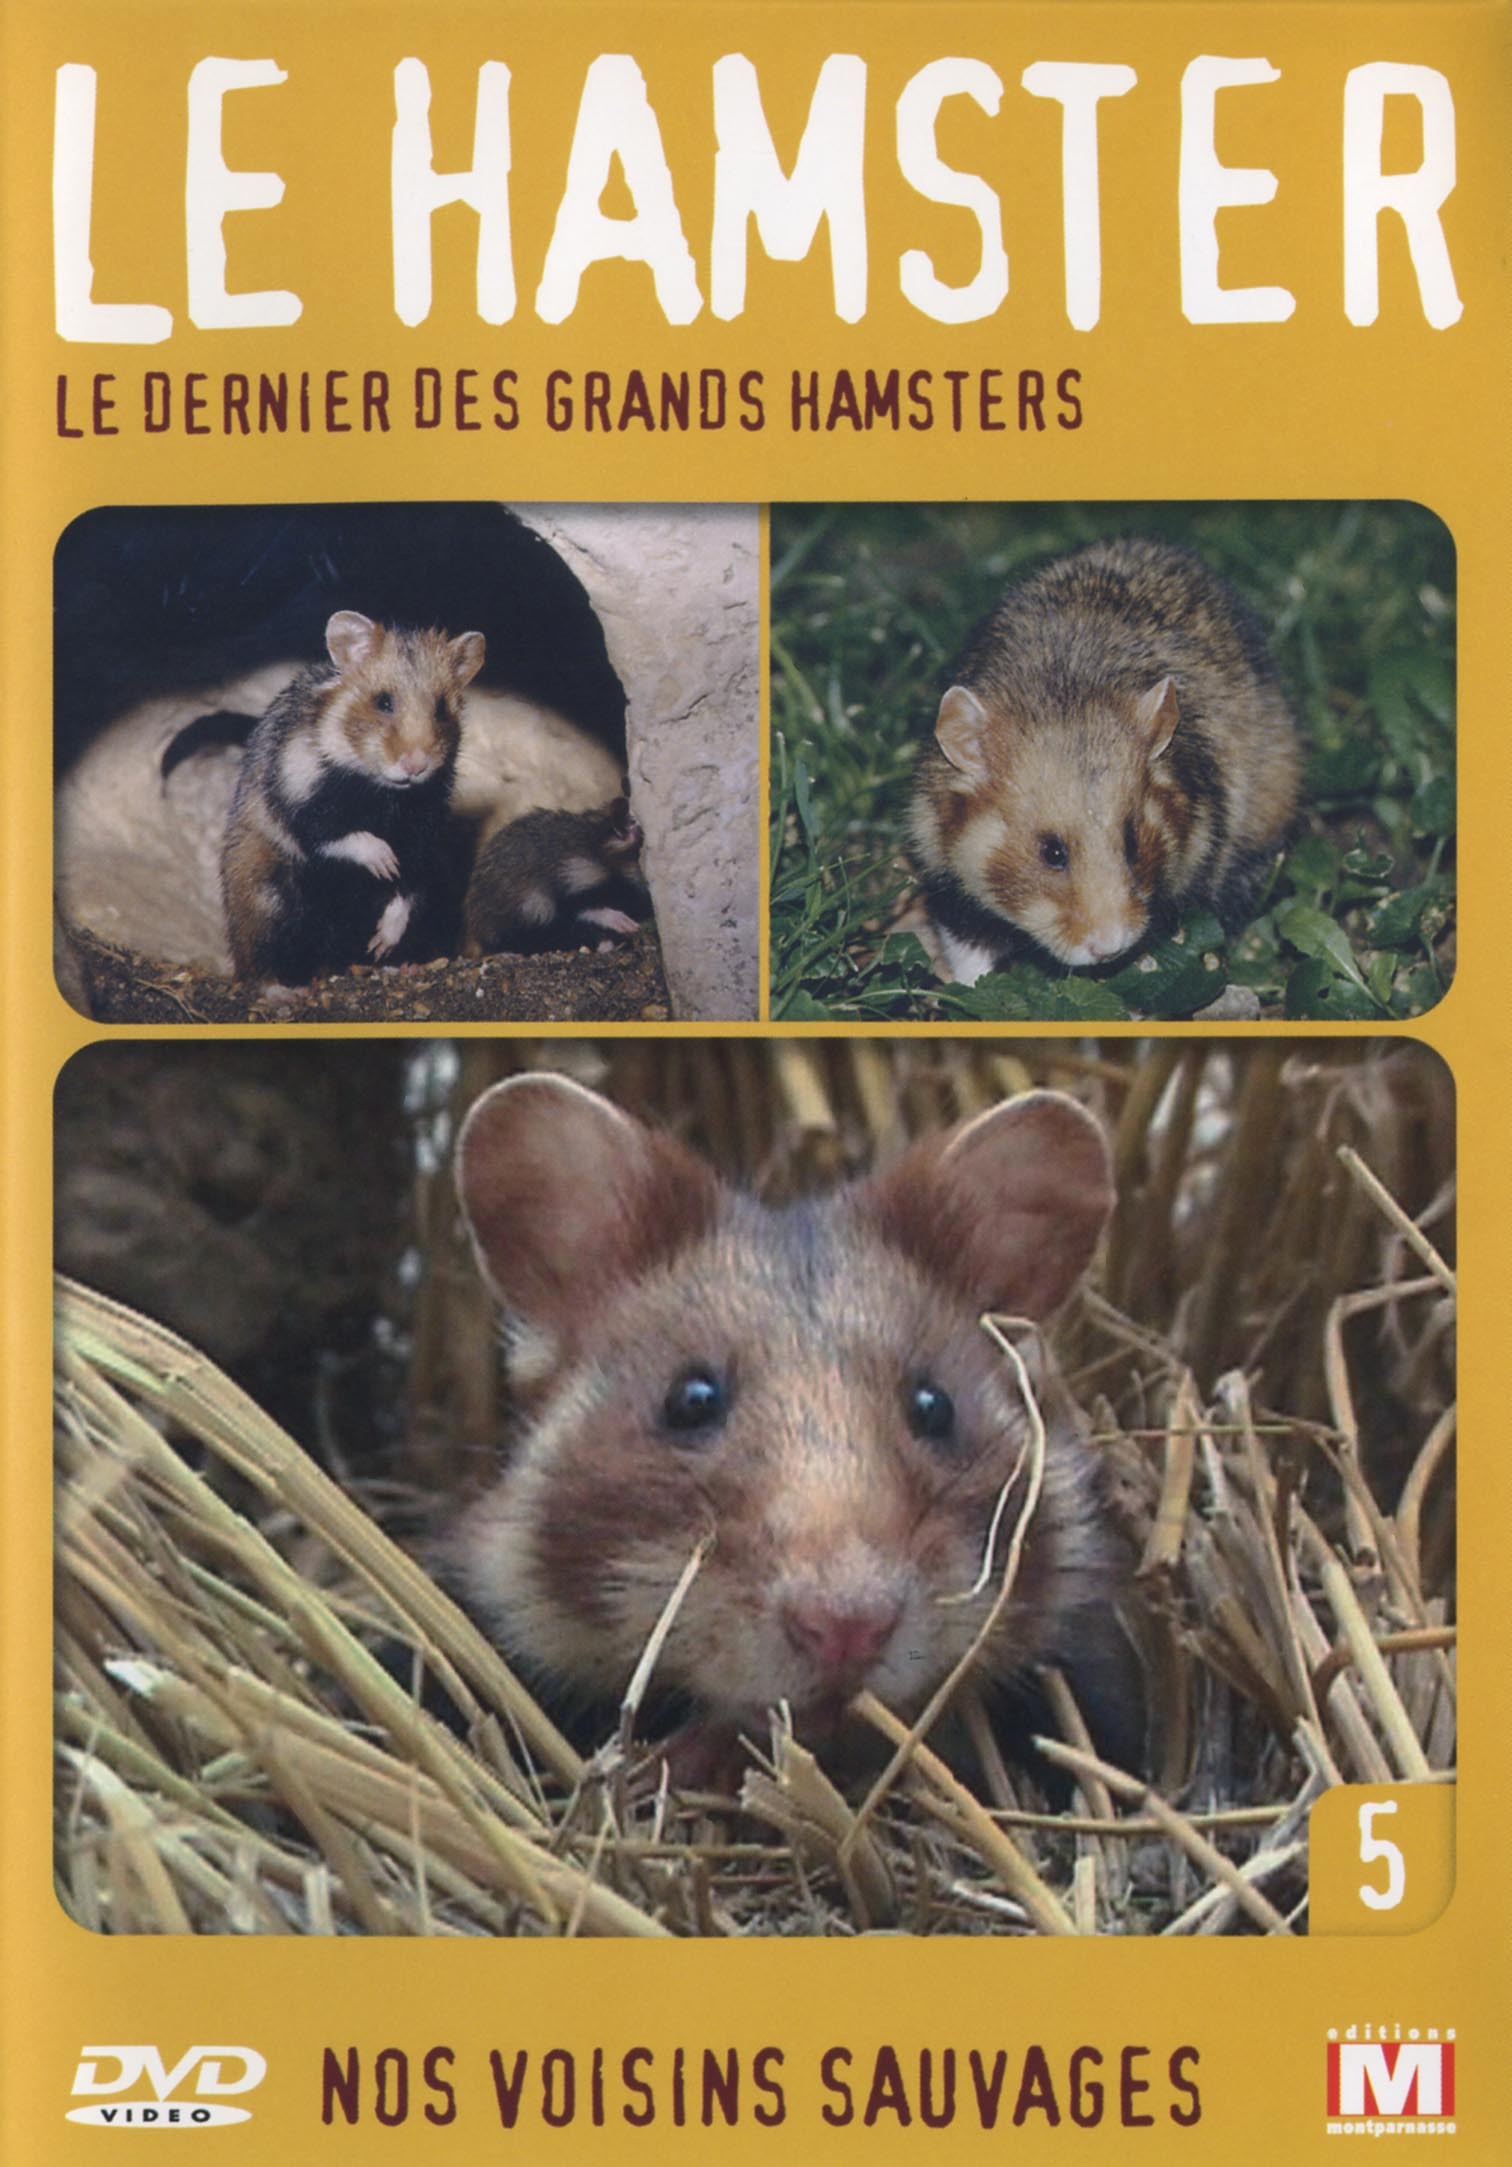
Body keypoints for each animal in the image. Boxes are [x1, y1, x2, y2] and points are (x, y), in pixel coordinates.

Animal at [221, 610, 485, 984]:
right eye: (383, 702)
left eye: (441, 709)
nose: (416, 766)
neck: (383, 792)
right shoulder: (297, 801)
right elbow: (336, 834)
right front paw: (385, 861)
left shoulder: (422, 836)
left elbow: (406, 888)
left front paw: (382, 941)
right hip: (264, 895)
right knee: (260, 963)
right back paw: (285, 990)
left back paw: (397, 964)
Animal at [908, 537, 1301, 984]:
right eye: (1051, 853)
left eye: (1133, 842)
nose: (1109, 947)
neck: (1063, 693)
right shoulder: (948, 878)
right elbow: (970, 955)